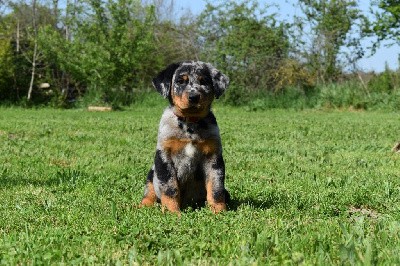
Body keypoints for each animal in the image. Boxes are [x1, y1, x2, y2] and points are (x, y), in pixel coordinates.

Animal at [140, 60, 228, 214]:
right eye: (180, 81)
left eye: (204, 81)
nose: (194, 97)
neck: (190, 125)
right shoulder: (164, 157)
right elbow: (170, 188)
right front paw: (172, 213)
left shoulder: (213, 157)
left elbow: (216, 188)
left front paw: (219, 212)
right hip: (152, 172)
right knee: (149, 190)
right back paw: (142, 205)